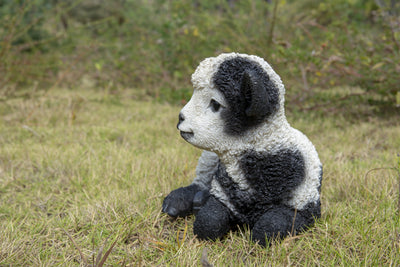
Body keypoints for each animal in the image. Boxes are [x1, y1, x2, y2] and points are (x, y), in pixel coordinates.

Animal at [162, 52, 322, 247]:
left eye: (215, 104)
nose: (180, 117)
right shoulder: (224, 194)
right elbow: (209, 221)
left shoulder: (303, 205)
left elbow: (270, 227)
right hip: (208, 160)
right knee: (200, 181)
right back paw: (176, 202)